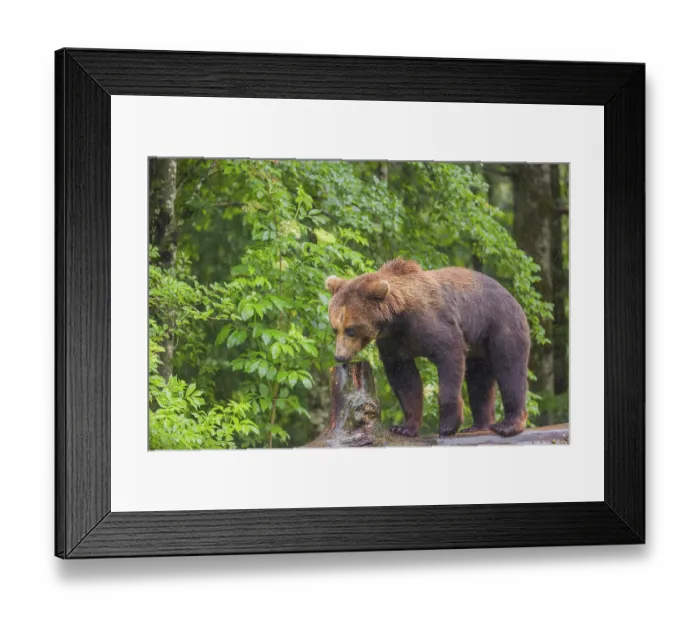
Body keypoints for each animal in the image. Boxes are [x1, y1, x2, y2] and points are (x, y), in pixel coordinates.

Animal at [325, 258, 531, 438]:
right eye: (335, 328)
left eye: (350, 329)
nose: (339, 356)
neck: (398, 319)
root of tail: (511, 296)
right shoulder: (393, 343)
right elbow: (406, 381)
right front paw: (404, 428)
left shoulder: (433, 323)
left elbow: (449, 357)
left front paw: (448, 425)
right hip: (479, 347)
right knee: (479, 380)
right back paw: (478, 425)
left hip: (500, 326)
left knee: (509, 369)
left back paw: (508, 424)